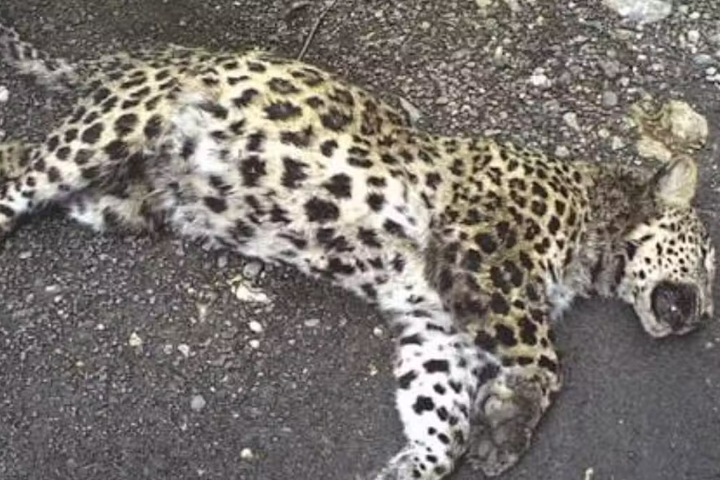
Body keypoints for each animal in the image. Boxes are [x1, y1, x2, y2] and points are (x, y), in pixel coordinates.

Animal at [0, 19, 716, 480]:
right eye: (711, 260)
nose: (702, 316)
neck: (593, 227)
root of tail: (127, 59)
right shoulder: (485, 246)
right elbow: (545, 354)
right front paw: (510, 422)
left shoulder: (438, 323)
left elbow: (439, 411)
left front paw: (421, 463)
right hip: (114, 127)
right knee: (21, 181)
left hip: (121, 201)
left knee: (16, 155)